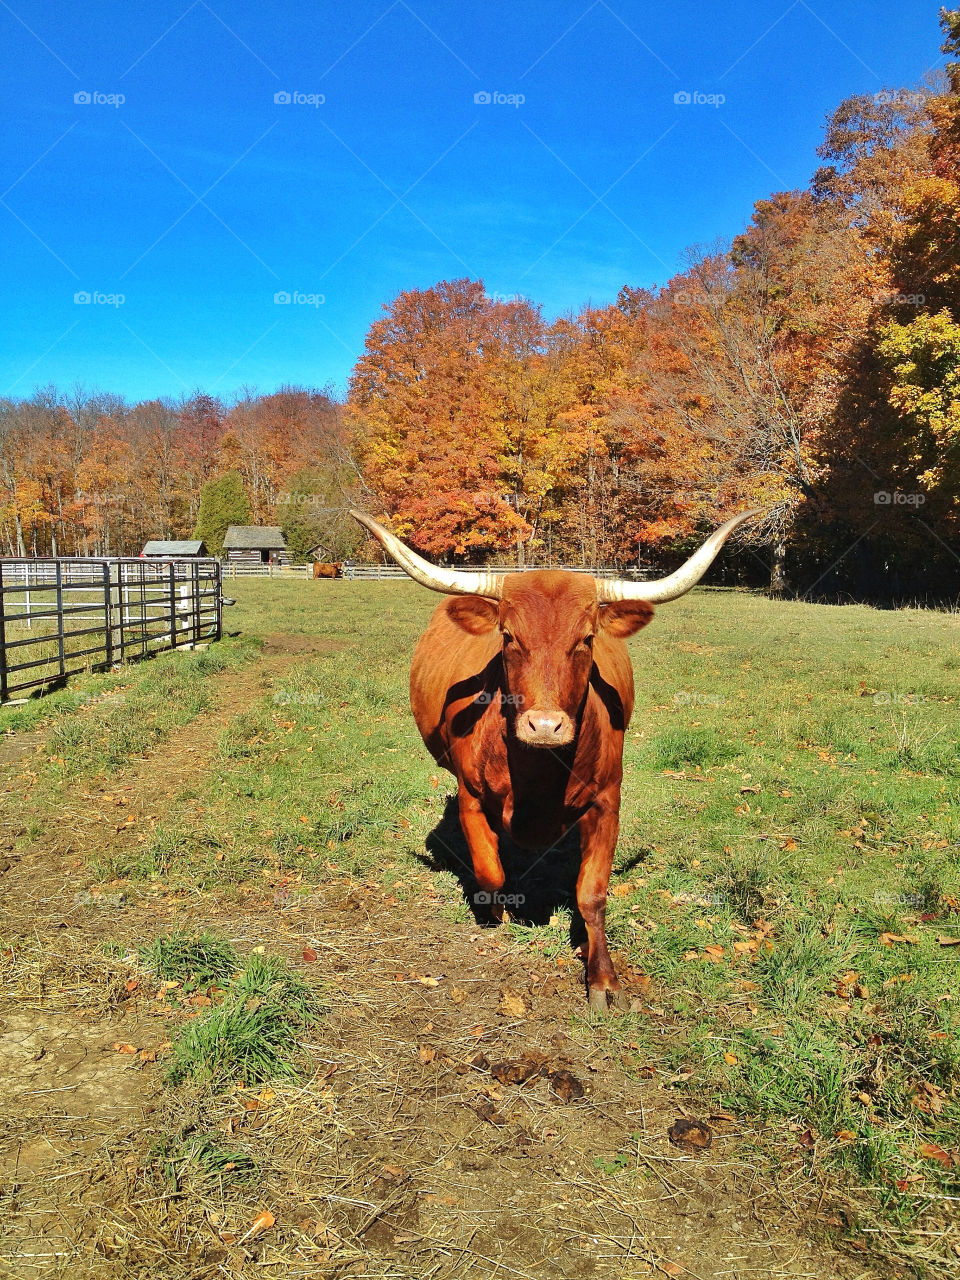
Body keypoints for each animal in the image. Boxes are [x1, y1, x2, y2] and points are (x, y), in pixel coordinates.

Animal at [350, 506, 762, 1008]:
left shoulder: (607, 802)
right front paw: (499, 915)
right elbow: (490, 872)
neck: (540, 779)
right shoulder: (469, 796)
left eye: (586, 638)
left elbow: (592, 893)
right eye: (508, 636)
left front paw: (601, 976)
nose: (545, 726)